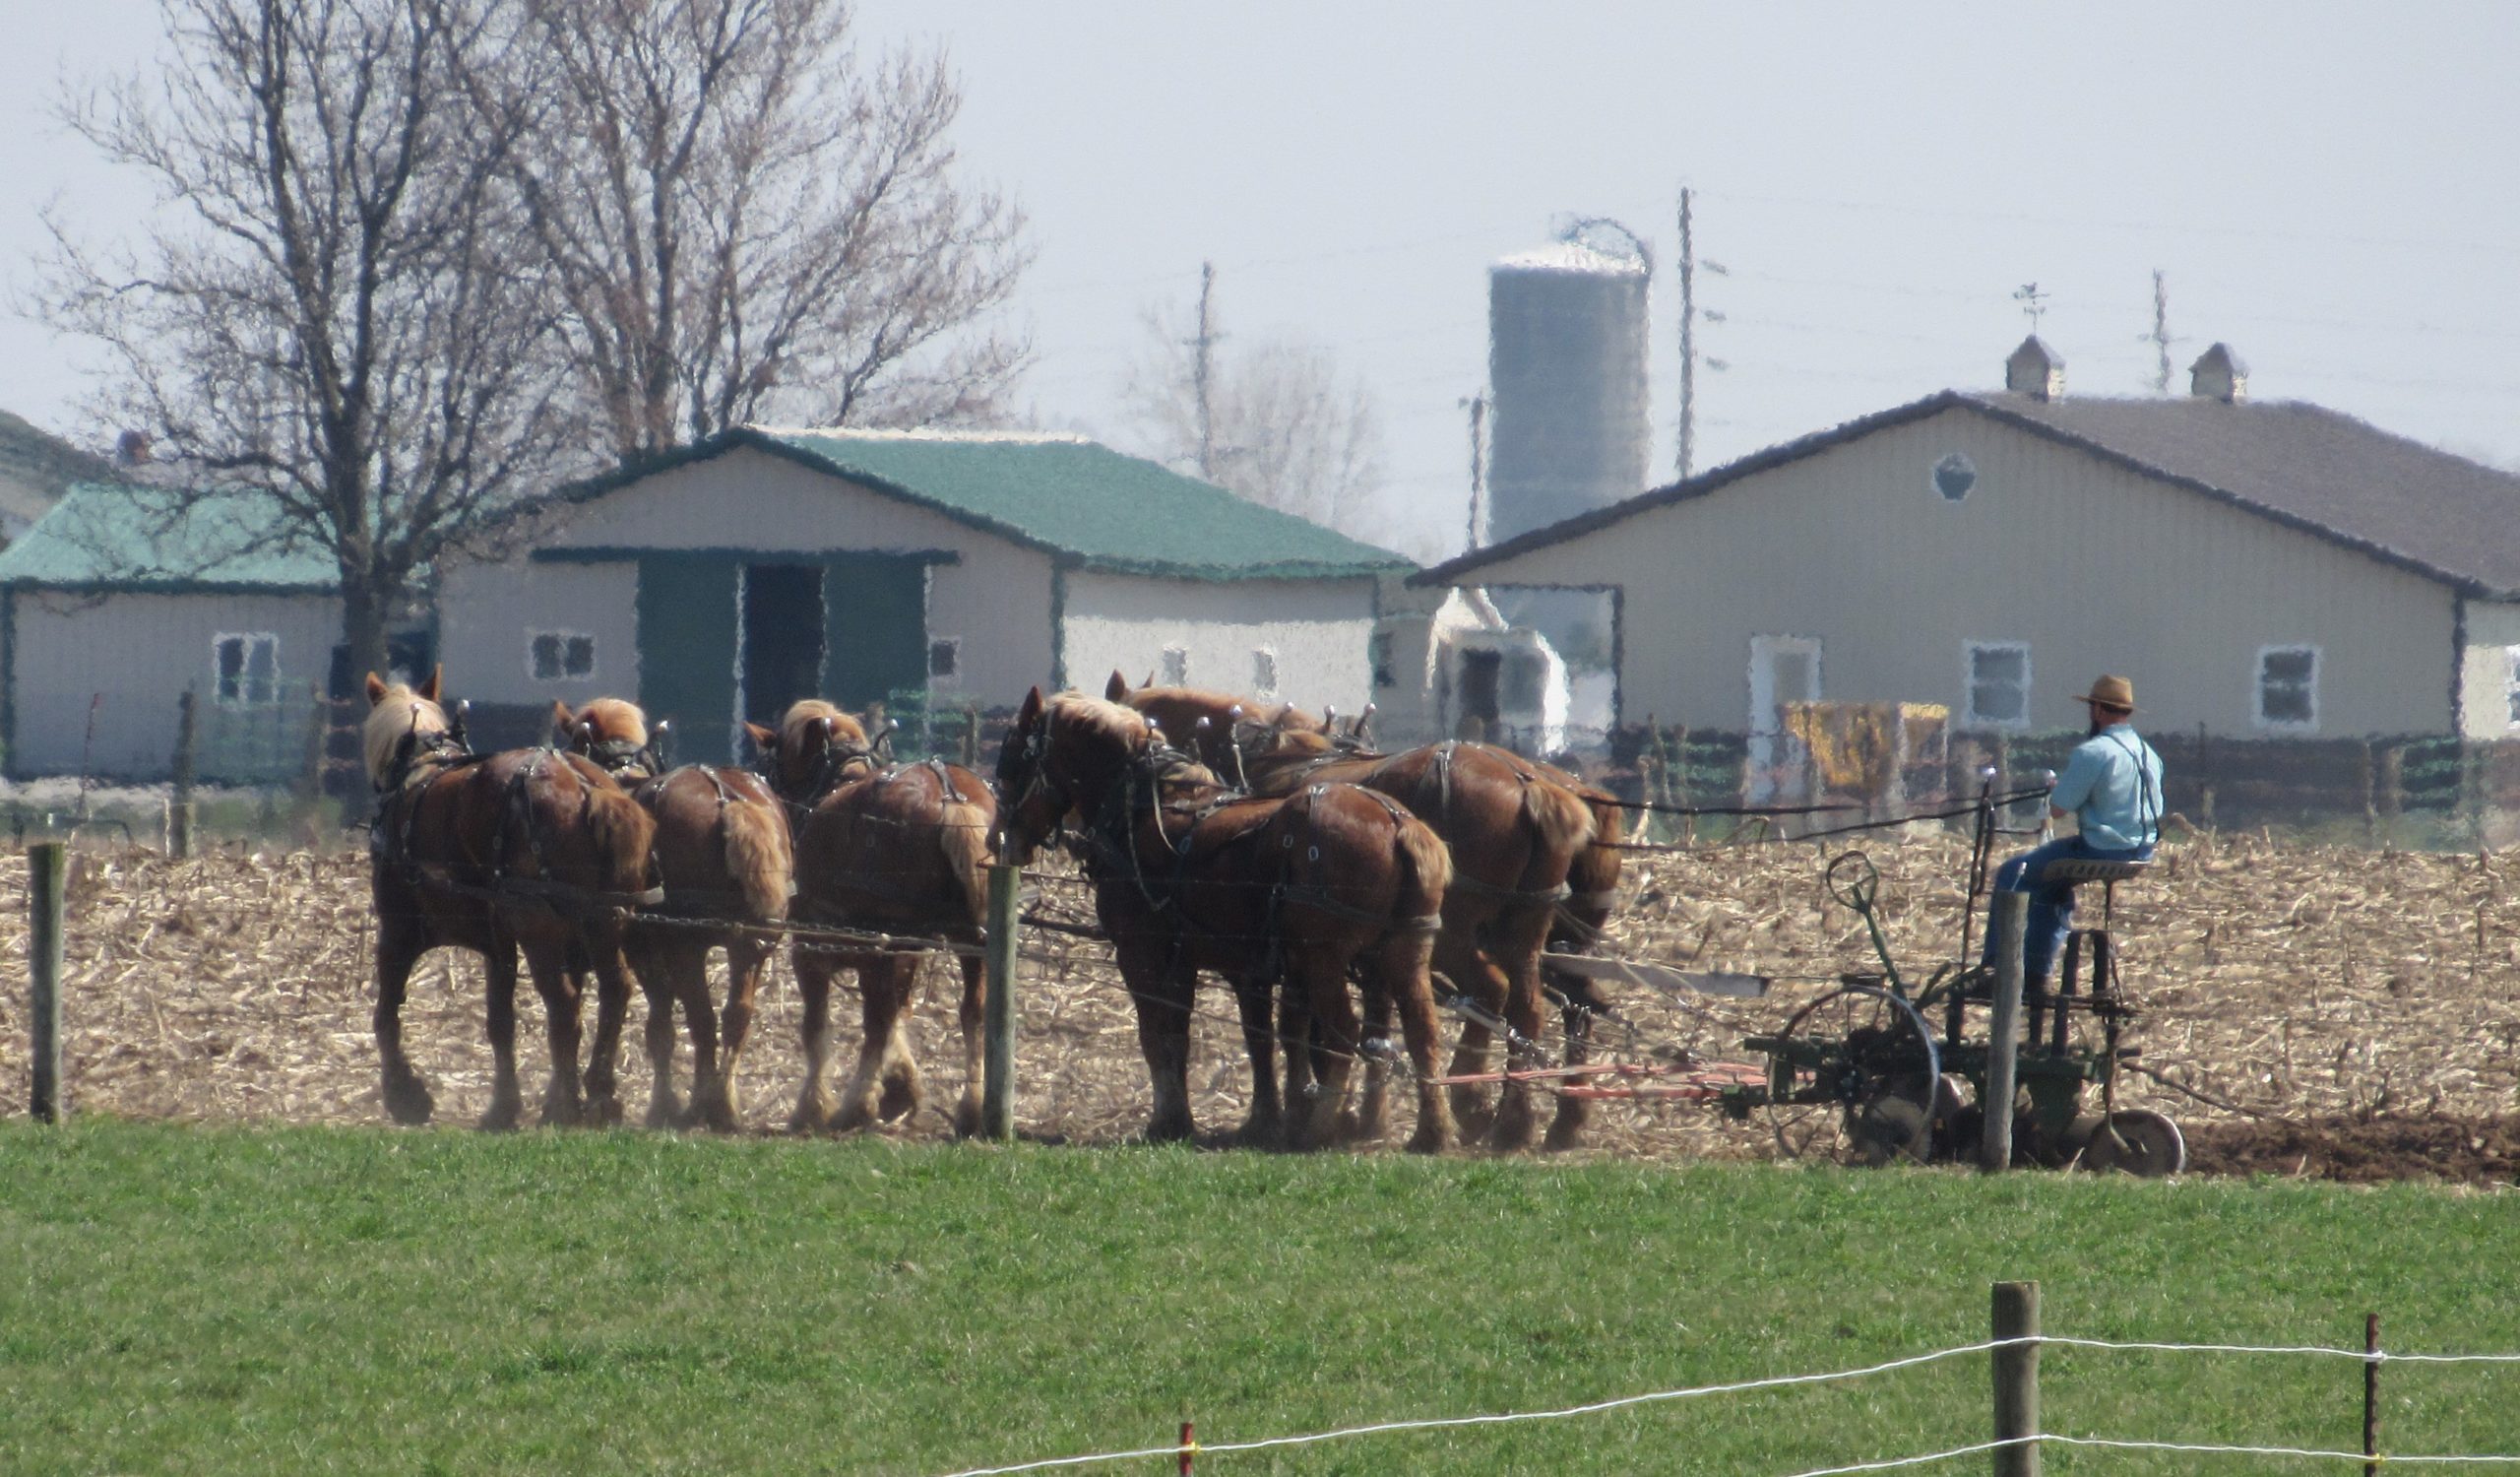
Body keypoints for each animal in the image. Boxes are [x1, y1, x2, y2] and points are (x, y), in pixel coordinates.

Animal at [367, 665, 660, 1128]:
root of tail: (588, 790)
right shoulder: (498, 942)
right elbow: (500, 1021)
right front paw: (503, 1106)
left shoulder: (398, 930)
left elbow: (386, 1013)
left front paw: (405, 1094)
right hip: (604, 919)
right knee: (614, 991)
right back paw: (599, 1096)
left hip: (537, 925)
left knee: (564, 1003)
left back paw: (564, 1105)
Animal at [556, 695, 790, 1119]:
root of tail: (728, 800)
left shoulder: (643, 951)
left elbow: (659, 1025)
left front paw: (660, 1102)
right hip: (751, 942)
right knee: (736, 1015)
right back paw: (724, 1104)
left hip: (685, 947)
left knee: (701, 1017)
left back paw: (701, 1103)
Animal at [745, 695, 992, 1133]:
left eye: (773, 763)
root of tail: (950, 799)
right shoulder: (894, 950)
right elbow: (898, 1015)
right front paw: (900, 1090)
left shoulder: (811, 948)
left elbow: (819, 1026)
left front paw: (815, 1107)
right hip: (968, 938)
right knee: (971, 1014)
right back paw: (970, 1109)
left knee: (879, 1019)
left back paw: (854, 1107)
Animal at [987, 690, 1461, 1149]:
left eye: (1012, 758)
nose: (998, 839)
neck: (1146, 809)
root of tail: (1398, 826)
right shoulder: (1201, 962)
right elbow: (1203, 1036)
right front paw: (1225, 1121)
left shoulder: (1141, 952)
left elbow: (1154, 1033)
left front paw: (1167, 1121)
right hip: (1404, 952)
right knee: (1422, 1031)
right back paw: (1431, 1132)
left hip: (1324, 957)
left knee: (1344, 1029)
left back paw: (1320, 1129)